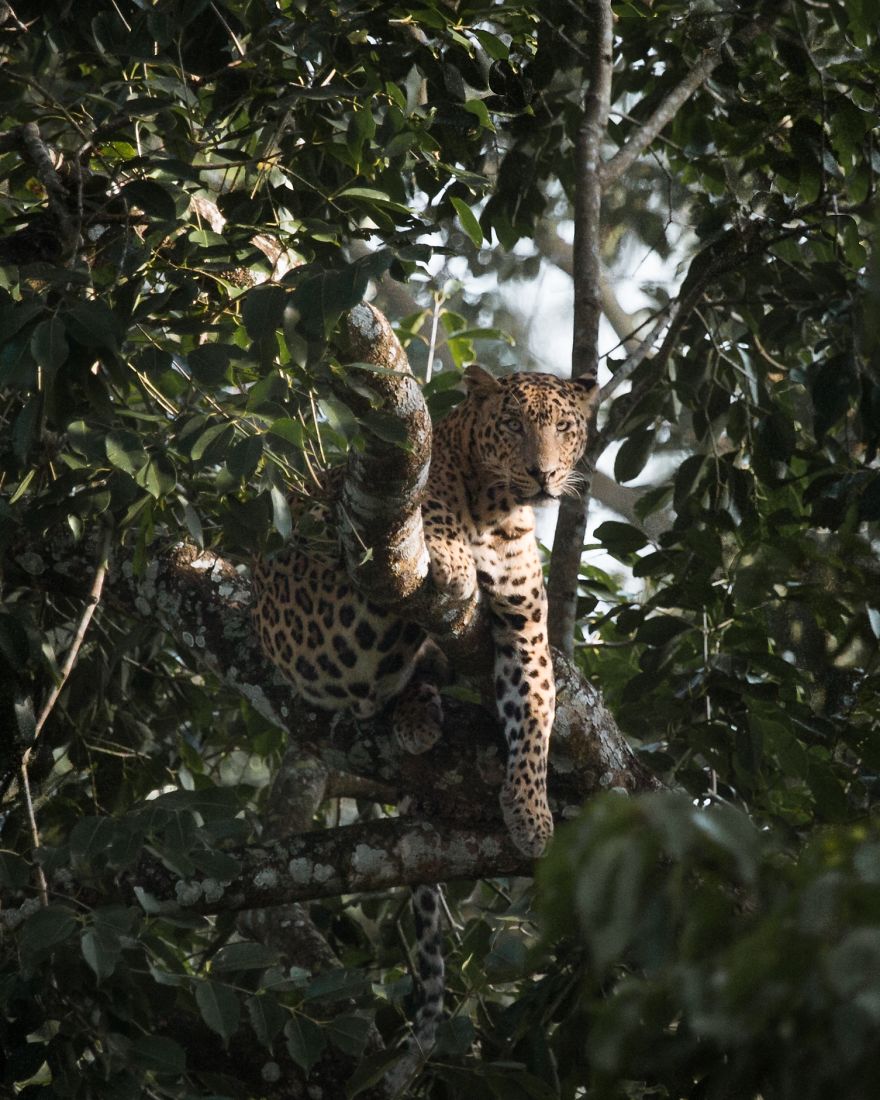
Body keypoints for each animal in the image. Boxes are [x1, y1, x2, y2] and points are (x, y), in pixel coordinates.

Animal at [252, 361, 597, 1079]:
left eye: (563, 428)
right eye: (513, 425)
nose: (545, 474)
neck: (498, 509)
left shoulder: (526, 630)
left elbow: (535, 718)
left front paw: (530, 816)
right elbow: (433, 528)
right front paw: (459, 557)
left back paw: (419, 713)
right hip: (331, 615)